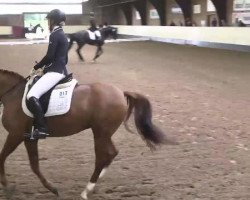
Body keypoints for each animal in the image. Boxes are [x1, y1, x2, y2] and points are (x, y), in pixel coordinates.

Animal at [0, 69, 173, 198]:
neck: (12, 94)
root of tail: (121, 92)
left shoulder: (15, 134)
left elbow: (3, 157)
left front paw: (7, 187)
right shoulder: (28, 138)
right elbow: (34, 164)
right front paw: (51, 188)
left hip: (100, 133)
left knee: (103, 156)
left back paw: (86, 190)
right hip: (104, 133)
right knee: (112, 153)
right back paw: (95, 184)